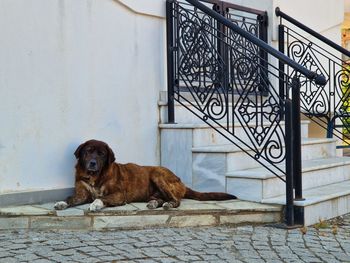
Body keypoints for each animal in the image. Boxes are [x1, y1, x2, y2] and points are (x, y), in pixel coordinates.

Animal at [54, 140, 237, 212]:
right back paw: (154, 203)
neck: (94, 177)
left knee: (176, 200)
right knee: (161, 198)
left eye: (101, 154)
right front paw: (62, 202)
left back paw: (168, 205)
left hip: (158, 175)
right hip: (154, 191)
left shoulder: (119, 195)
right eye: (88, 152)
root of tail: (182, 182)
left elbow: (100, 198)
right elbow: (70, 198)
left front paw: (95, 204)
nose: (92, 163)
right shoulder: (81, 194)